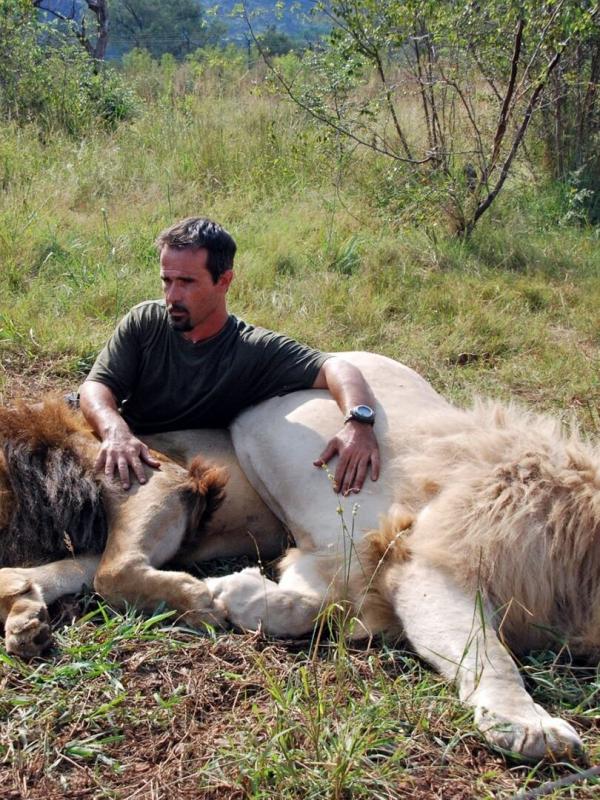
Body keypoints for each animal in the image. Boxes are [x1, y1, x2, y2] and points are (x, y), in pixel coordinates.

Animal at [0, 352, 597, 762]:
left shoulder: (357, 556)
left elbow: (319, 602)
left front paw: (242, 593)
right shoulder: (425, 557)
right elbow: (489, 652)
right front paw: (529, 725)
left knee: (76, 569)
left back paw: (24, 612)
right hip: (181, 468)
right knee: (104, 570)